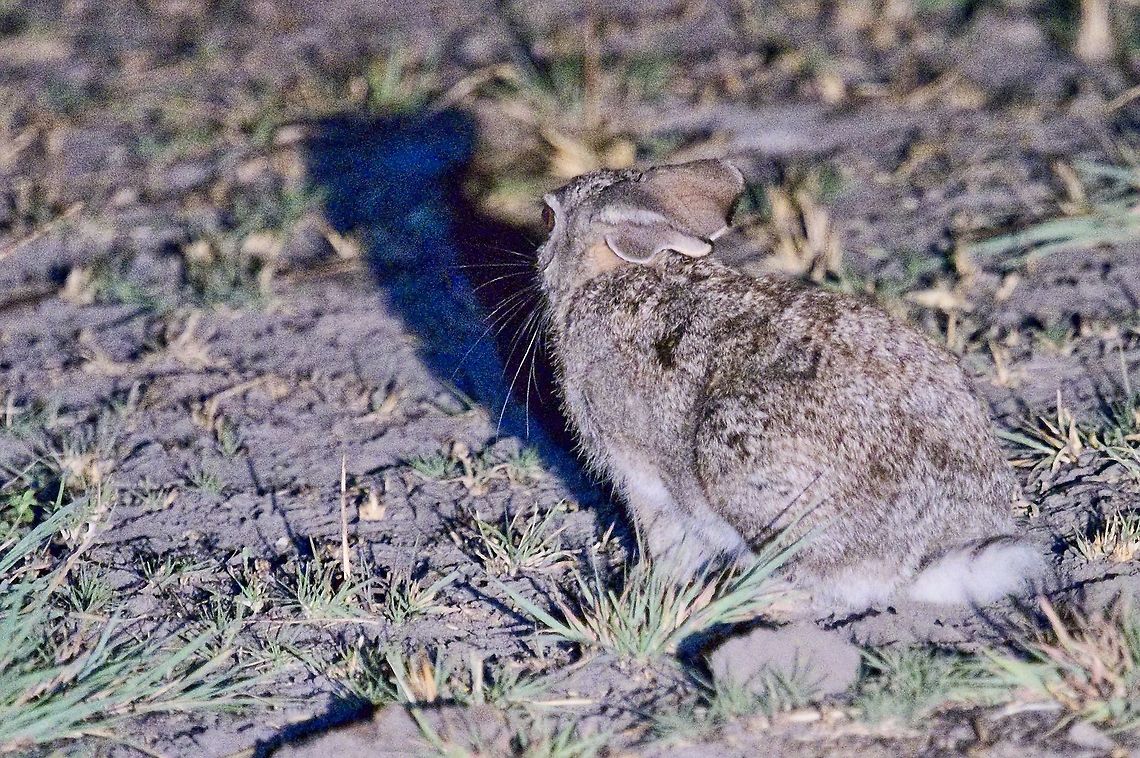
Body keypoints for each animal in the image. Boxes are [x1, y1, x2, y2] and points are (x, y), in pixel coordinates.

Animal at [534, 158, 1047, 613]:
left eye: (547, 218)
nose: (540, 261)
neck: (617, 273)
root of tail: (921, 558)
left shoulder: (641, 475)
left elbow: (662, 536)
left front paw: (647, 586)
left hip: (741, 463)